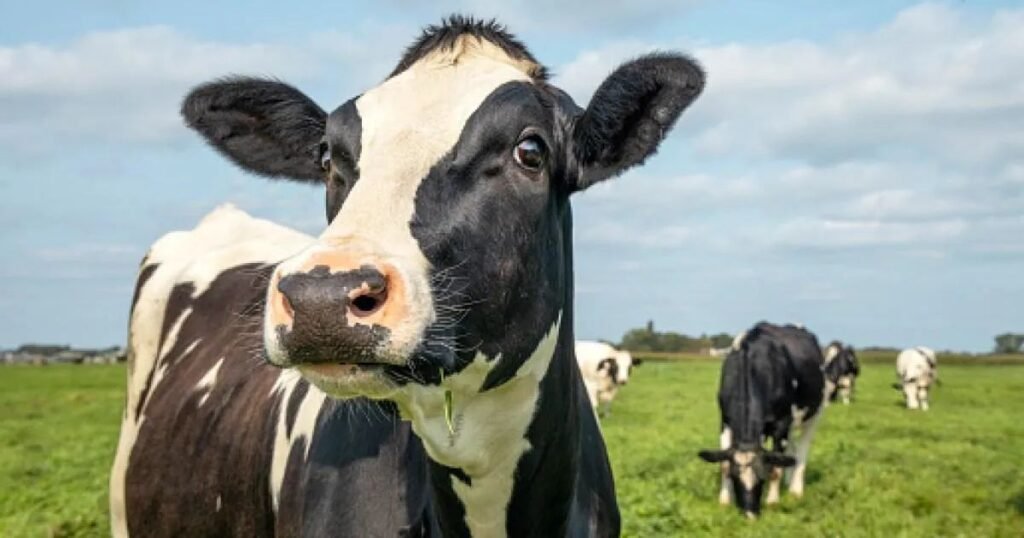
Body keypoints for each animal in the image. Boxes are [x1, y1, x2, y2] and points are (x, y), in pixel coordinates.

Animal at [698, 322, 826, 519]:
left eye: (762, 477)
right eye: (735, 477)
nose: (750, 515)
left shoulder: (781, 423)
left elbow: (776, 468)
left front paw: (772, 502)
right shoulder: (725, 421)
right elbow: (724, 464)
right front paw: (725, 501)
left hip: (814, 414)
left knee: (802, 450)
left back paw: (796, 490)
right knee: (791, 452)